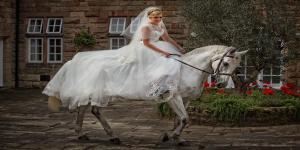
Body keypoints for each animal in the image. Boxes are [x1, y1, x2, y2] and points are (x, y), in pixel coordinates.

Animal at [48, 44, 247, 145]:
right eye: (226, 63)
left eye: (237, 66)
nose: (221, 84)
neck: (186, 69)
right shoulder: (173, 96)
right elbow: (184, 119)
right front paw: (174, 137)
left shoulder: (185, 98)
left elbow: (180, 119)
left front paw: (174, 136)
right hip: (96, 91)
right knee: (92, 110)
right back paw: (110, 136)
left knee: (85, 109)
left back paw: (85, 134)